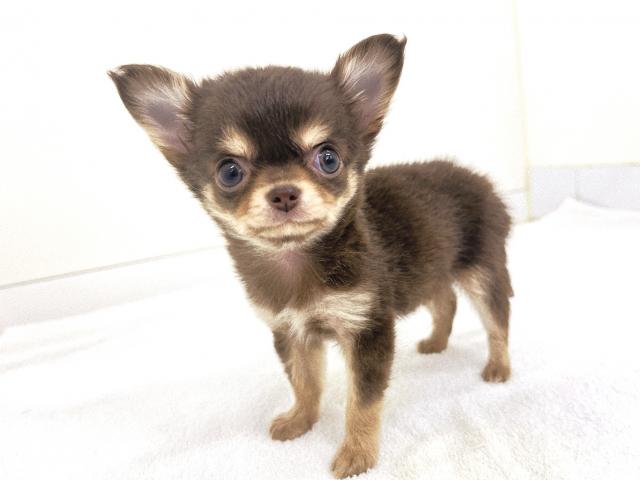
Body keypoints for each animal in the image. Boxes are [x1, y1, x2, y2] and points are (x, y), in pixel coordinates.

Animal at [109, 33, 513, 478]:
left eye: (328, 158)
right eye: (230, 171)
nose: (284, 192)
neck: (296, 261)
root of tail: (480, 179)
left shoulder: (367, 329)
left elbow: (363, 401)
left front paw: (357, 454)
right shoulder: (291, 331)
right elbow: (304, 382)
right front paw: (300, 421)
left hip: (484, 270)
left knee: (497, 321)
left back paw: (498, 368)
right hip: (433, 270)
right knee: (445, 299)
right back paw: (437, 343)